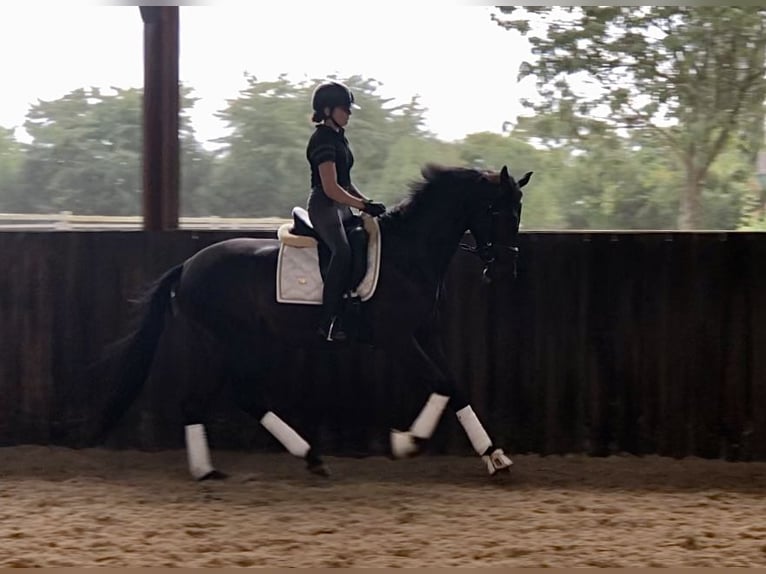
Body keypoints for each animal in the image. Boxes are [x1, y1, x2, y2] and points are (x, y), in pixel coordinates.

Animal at [96, 165, 536, 482]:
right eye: (496, 211)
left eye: (518, 213)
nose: (504, 269)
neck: (410, 254)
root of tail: (187, 266)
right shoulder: (397, 339)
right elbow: (442, 385)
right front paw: (406, 443)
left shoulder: (426, 334)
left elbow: (456, 388)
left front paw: (494, 456)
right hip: (225, 342)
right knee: (218, 398)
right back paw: (232, 467)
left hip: (239, 344)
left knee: (233, 398)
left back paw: (287, 460)